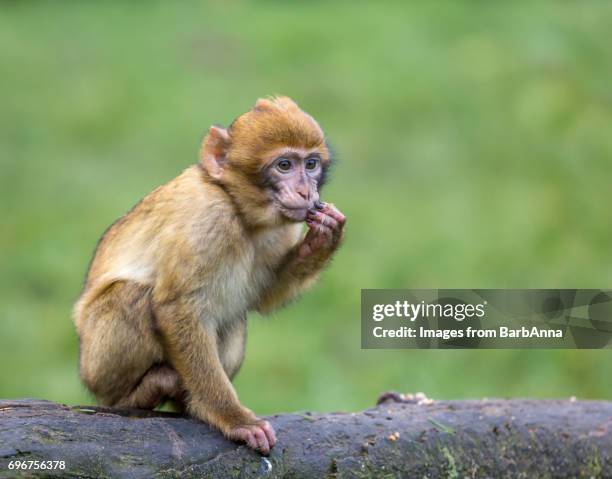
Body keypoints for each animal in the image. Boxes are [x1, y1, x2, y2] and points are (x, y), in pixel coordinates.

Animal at [73, 96, 344, 454]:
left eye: (311, 164)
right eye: (284, 165)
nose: (305, 192)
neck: (238, 207)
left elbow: (262, 298)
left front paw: (324, 238)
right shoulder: (208, 220)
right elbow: (178, 307)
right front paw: (233, 418)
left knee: (234, 316)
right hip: (97, 368)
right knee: (129, 296)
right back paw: (141, 396)